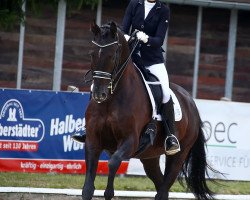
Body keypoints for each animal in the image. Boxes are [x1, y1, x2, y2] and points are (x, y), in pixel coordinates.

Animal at [82, 21, 215, 200]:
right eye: (91, 54)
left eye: (113, 55)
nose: (99, 93)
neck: (111, 99)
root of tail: (190, 102)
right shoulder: (92, 140)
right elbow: (87, 188)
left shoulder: (130, 141)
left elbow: (113, 162)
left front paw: (109, 192)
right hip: (149, 157)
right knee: (160, 186)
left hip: (178, 155)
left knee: (164, 188)